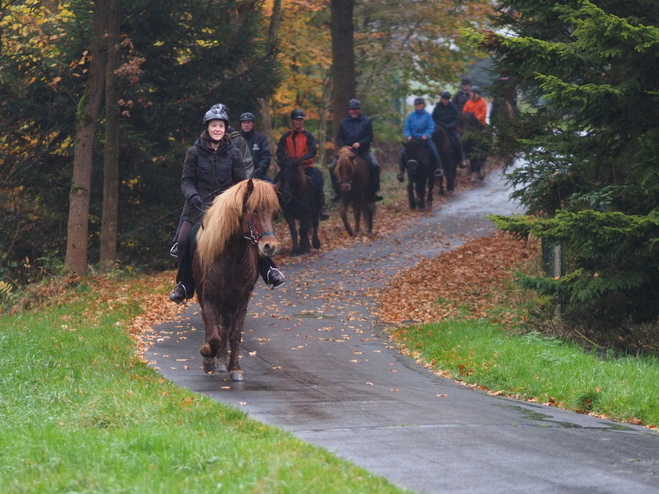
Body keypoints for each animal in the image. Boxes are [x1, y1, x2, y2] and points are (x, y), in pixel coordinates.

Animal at [193, 178, 282, 382]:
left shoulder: (241, 300)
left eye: (274, 213)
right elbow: (213, 335)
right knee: (211, 325)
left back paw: (221, 360)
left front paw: (235, 368)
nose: (270, 246)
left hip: (228, 302)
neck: (232, 257)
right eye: (254, 210)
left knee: (224, 328)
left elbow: (234, 335)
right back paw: (211, 359)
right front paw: (206, 352)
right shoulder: (209, 298)